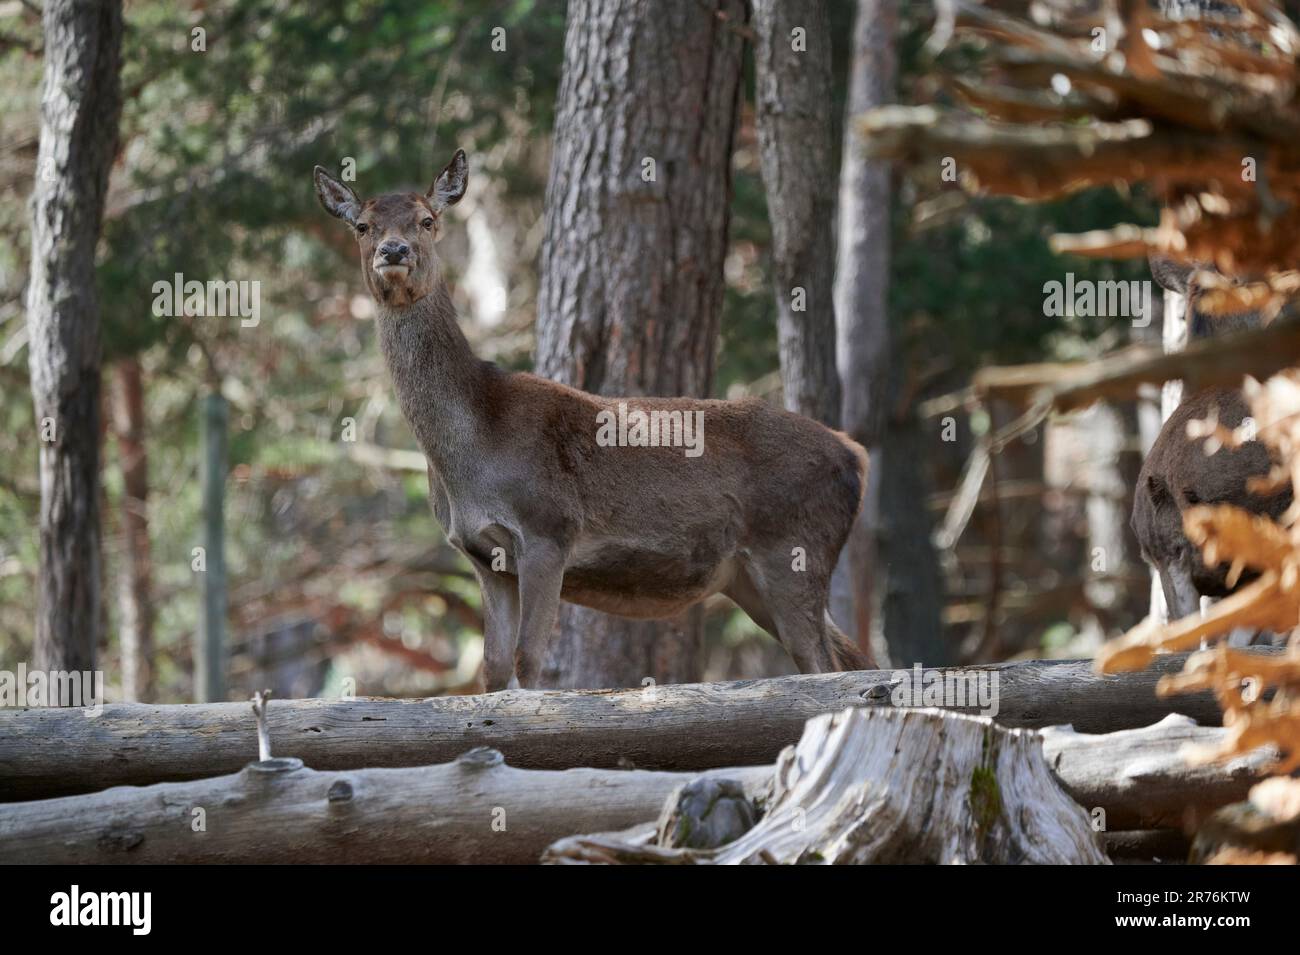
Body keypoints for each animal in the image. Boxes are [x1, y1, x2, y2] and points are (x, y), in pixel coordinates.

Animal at [313, 149, 875, 690]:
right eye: (363, 225)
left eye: (427, 220)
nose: (394, 251)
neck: (471, 451)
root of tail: (857, 455)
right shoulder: (482, 556)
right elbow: (493, 669)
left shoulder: (549, 529)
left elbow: (529, 661)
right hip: (747, 577)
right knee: (849, 659)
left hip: (796, 549)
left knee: (827, 667)